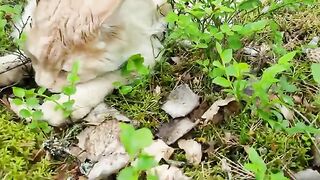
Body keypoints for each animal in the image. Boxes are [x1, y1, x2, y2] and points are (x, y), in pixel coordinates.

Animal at [1, 0, 168, 126]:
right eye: (35, 58)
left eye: (65, 72)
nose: (41, 85)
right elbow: (18, 60)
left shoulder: (146, 54)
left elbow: (104, 79)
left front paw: (60, 107)